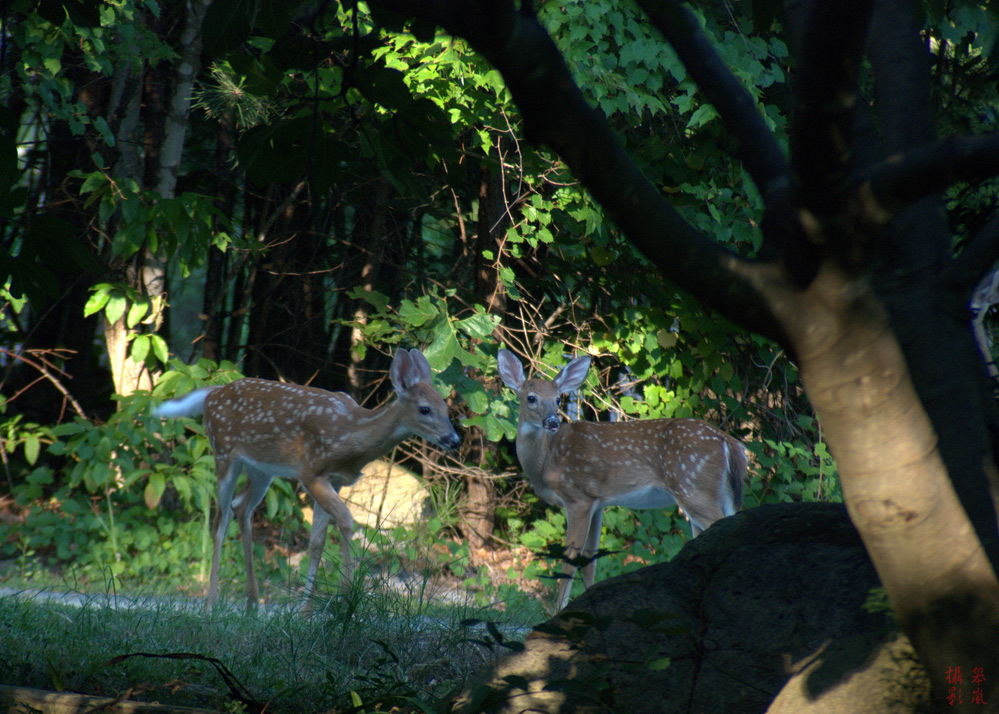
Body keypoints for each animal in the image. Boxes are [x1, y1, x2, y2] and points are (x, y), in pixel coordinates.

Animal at [151, 348, 460, 608]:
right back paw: (211, 604)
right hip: (224, 452)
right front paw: (348, 597)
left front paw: (306, 610)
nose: (454, 440)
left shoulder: (334, 480)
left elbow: (317, 541)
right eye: (424, 409)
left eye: (447, 409)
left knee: (242, 508)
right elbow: (346, 521)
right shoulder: (310, 472)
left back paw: (253, 602)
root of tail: (212, 393)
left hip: (262, 469)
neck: (349, 436)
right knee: (220, 520)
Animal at [496, 348, 748, 608]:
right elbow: (590, 560)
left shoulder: (578, 496)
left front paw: (558, 611)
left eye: (557, 399)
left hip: (694, 486)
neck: (547, 462)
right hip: (714, 493)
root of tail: (729, 443)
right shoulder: (597, 502)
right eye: (531, 398)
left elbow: (570, 560)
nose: (553, 421)